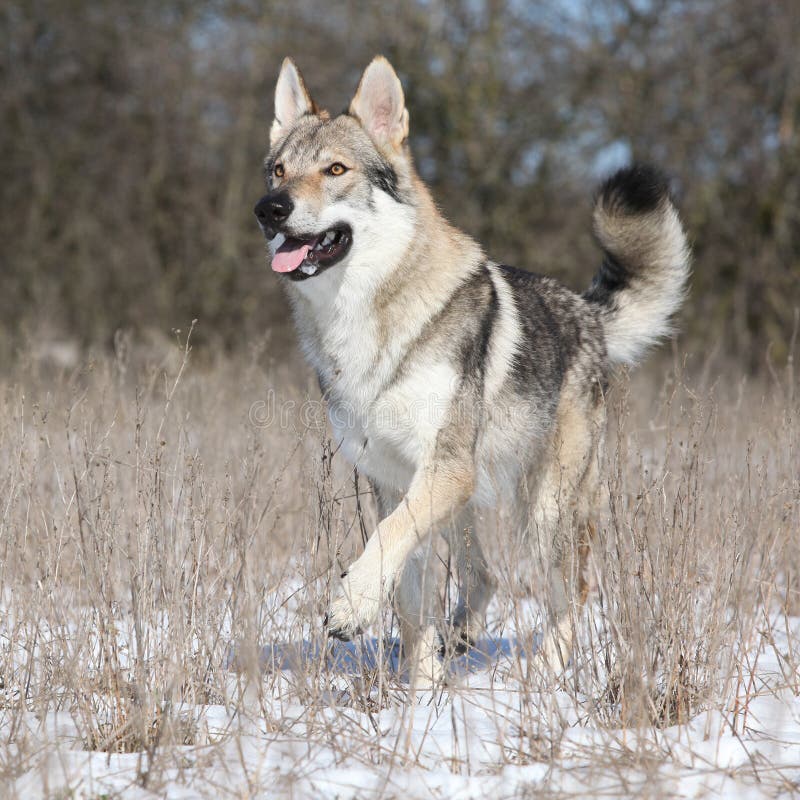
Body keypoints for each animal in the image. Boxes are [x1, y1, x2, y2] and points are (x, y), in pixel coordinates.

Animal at [255, 56, 688, 684]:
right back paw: (461, 638)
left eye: (335, 169)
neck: (365, 322)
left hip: (541, 513)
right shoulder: (392, 479)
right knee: (485, 575)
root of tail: (587, 313)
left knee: (573, 589)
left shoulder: (441, 472)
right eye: (278, 172)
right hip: (468, 501)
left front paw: (351, 607)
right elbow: (411, 596)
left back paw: (547, 674)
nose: (269, 210)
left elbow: (385, 541)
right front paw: (420, 692)